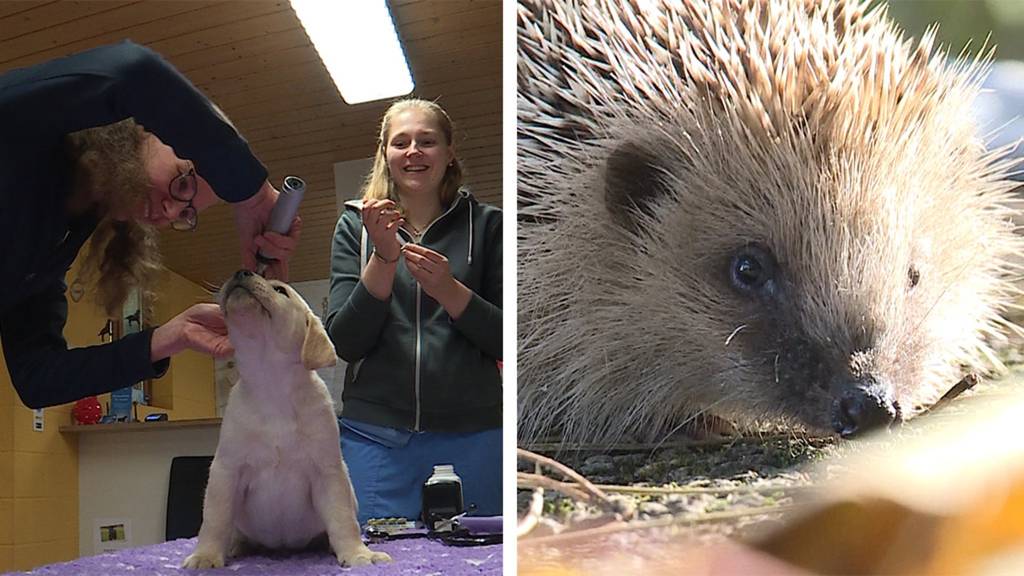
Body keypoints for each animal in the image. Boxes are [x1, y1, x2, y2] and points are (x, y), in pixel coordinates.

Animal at [182, 270, 389, 565]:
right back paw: (235, 546)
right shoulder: (226, 469)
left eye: (280, 290)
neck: (272, 383)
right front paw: (206, 555)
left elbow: (343, 519)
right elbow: (215, 520)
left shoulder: (328, 472)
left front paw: (358, 554)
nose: (241, 272)